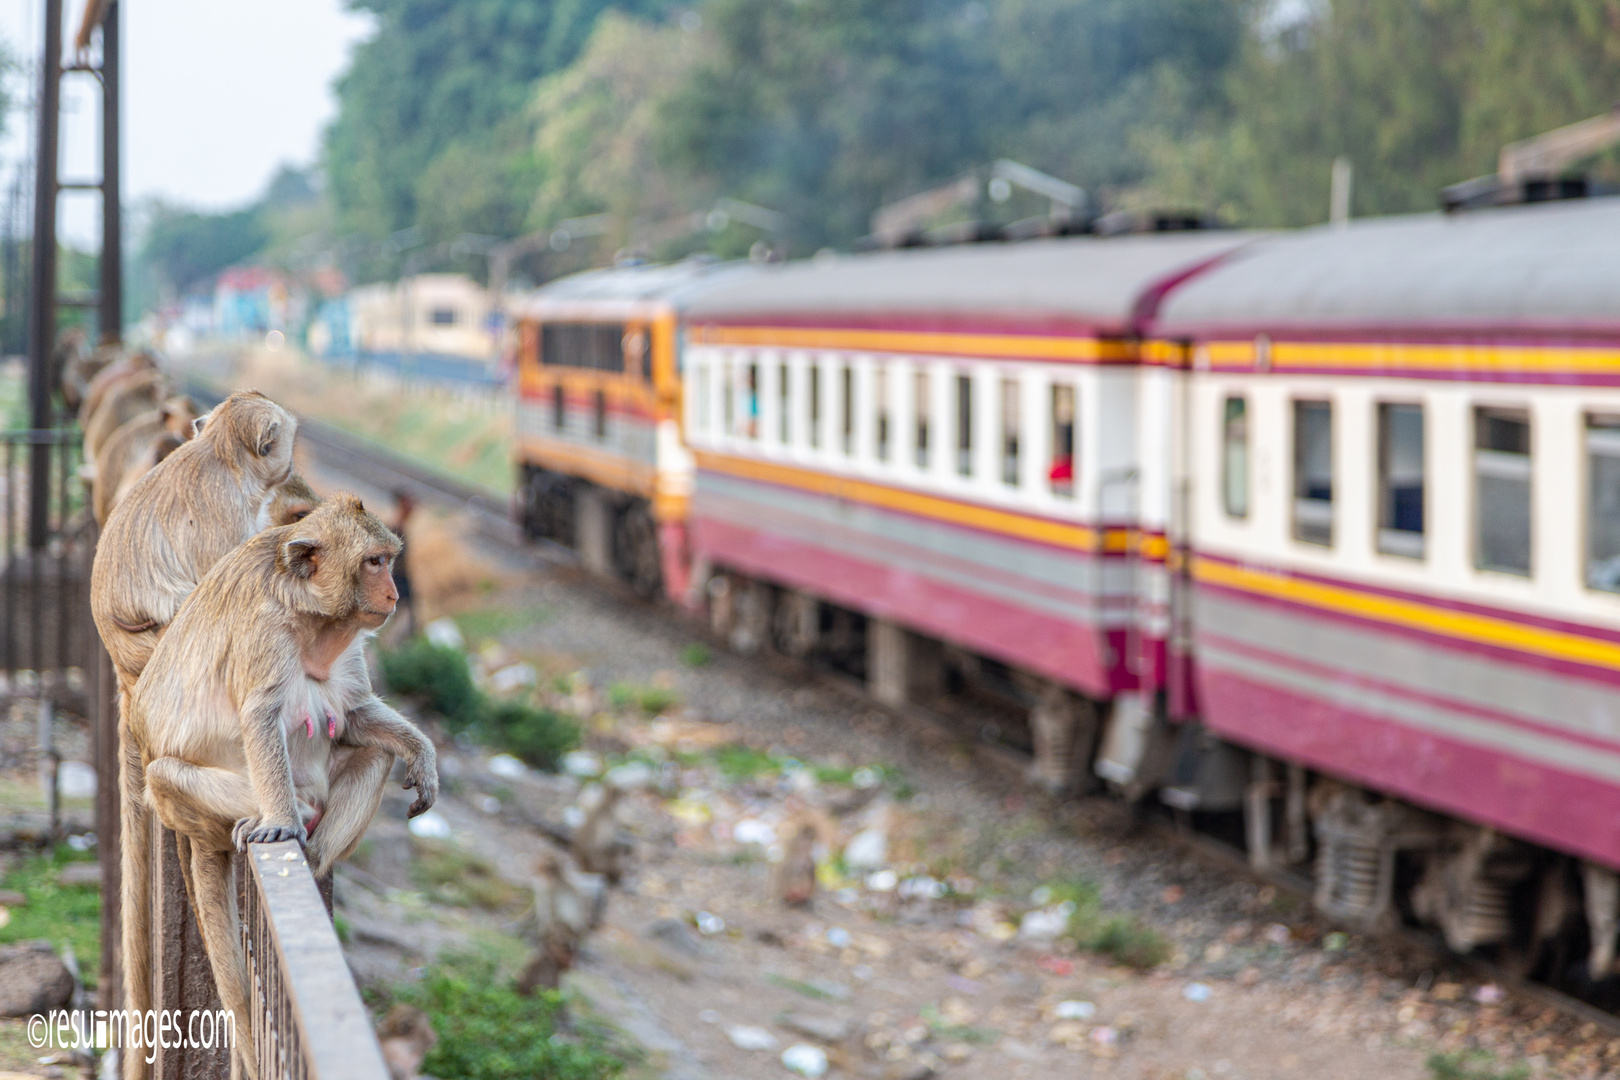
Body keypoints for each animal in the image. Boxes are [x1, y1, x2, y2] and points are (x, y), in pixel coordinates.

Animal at [123, 495, 437, 1075]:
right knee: (165, 775)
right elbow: (260, 716)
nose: (395, 593)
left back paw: (312, 859)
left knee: (375, 754)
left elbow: (356, 716)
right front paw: (281, 823)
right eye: (374, 562)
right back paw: (275, 819)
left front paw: (423, 755)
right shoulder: (264, 632)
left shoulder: (348, 642)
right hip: (189, 808)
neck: (311, 617)